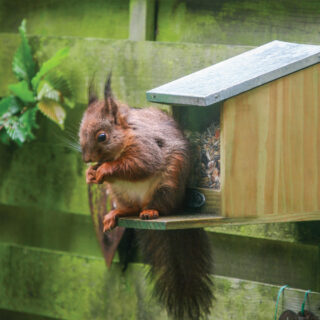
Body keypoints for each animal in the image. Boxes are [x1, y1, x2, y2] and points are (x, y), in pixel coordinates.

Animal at [78, 75, 212, 320]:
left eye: (102, 136)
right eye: (80, 132)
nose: (86, 158)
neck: (127, 133)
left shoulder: (146, 147)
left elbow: (139, 165)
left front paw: (104, 170)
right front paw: (90, 174)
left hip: (167, 185)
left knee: (160, 206)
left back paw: (151, 211)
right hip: (121, 194)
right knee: (131, 208)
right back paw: (115, 214)